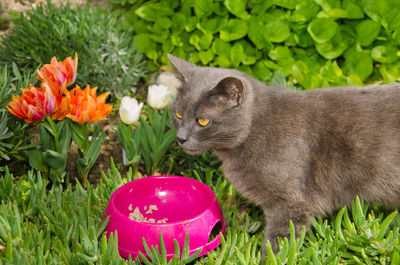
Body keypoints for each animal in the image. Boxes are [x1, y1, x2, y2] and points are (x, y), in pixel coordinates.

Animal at [167, 54, 400, 254]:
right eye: (178, 115)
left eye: (203, 121)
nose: (180, 138)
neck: (254, 129)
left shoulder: (290, 202)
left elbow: (278, 242)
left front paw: (269, 258)